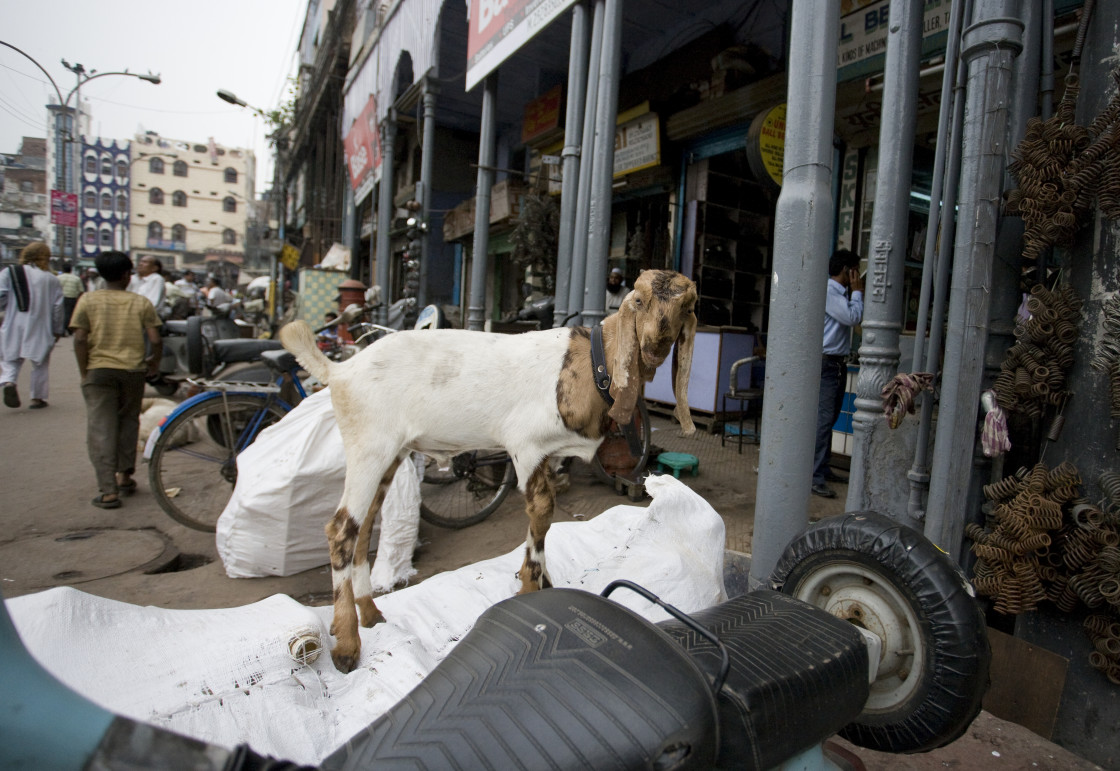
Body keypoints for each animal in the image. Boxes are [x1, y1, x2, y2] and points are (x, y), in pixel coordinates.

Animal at [280, 267, 694, 672]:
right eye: (638, 300)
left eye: (687, 308)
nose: (654, 345)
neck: (591, 362)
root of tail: (340, 371)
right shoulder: (526, 446)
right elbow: (542, 510)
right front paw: (530, 588)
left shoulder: (546, 454)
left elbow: (543, 517)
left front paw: (542, 581)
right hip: (368, 447)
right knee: (340, 529)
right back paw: (347, 645)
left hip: (390, 454)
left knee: (364, 526)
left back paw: (368, 613)